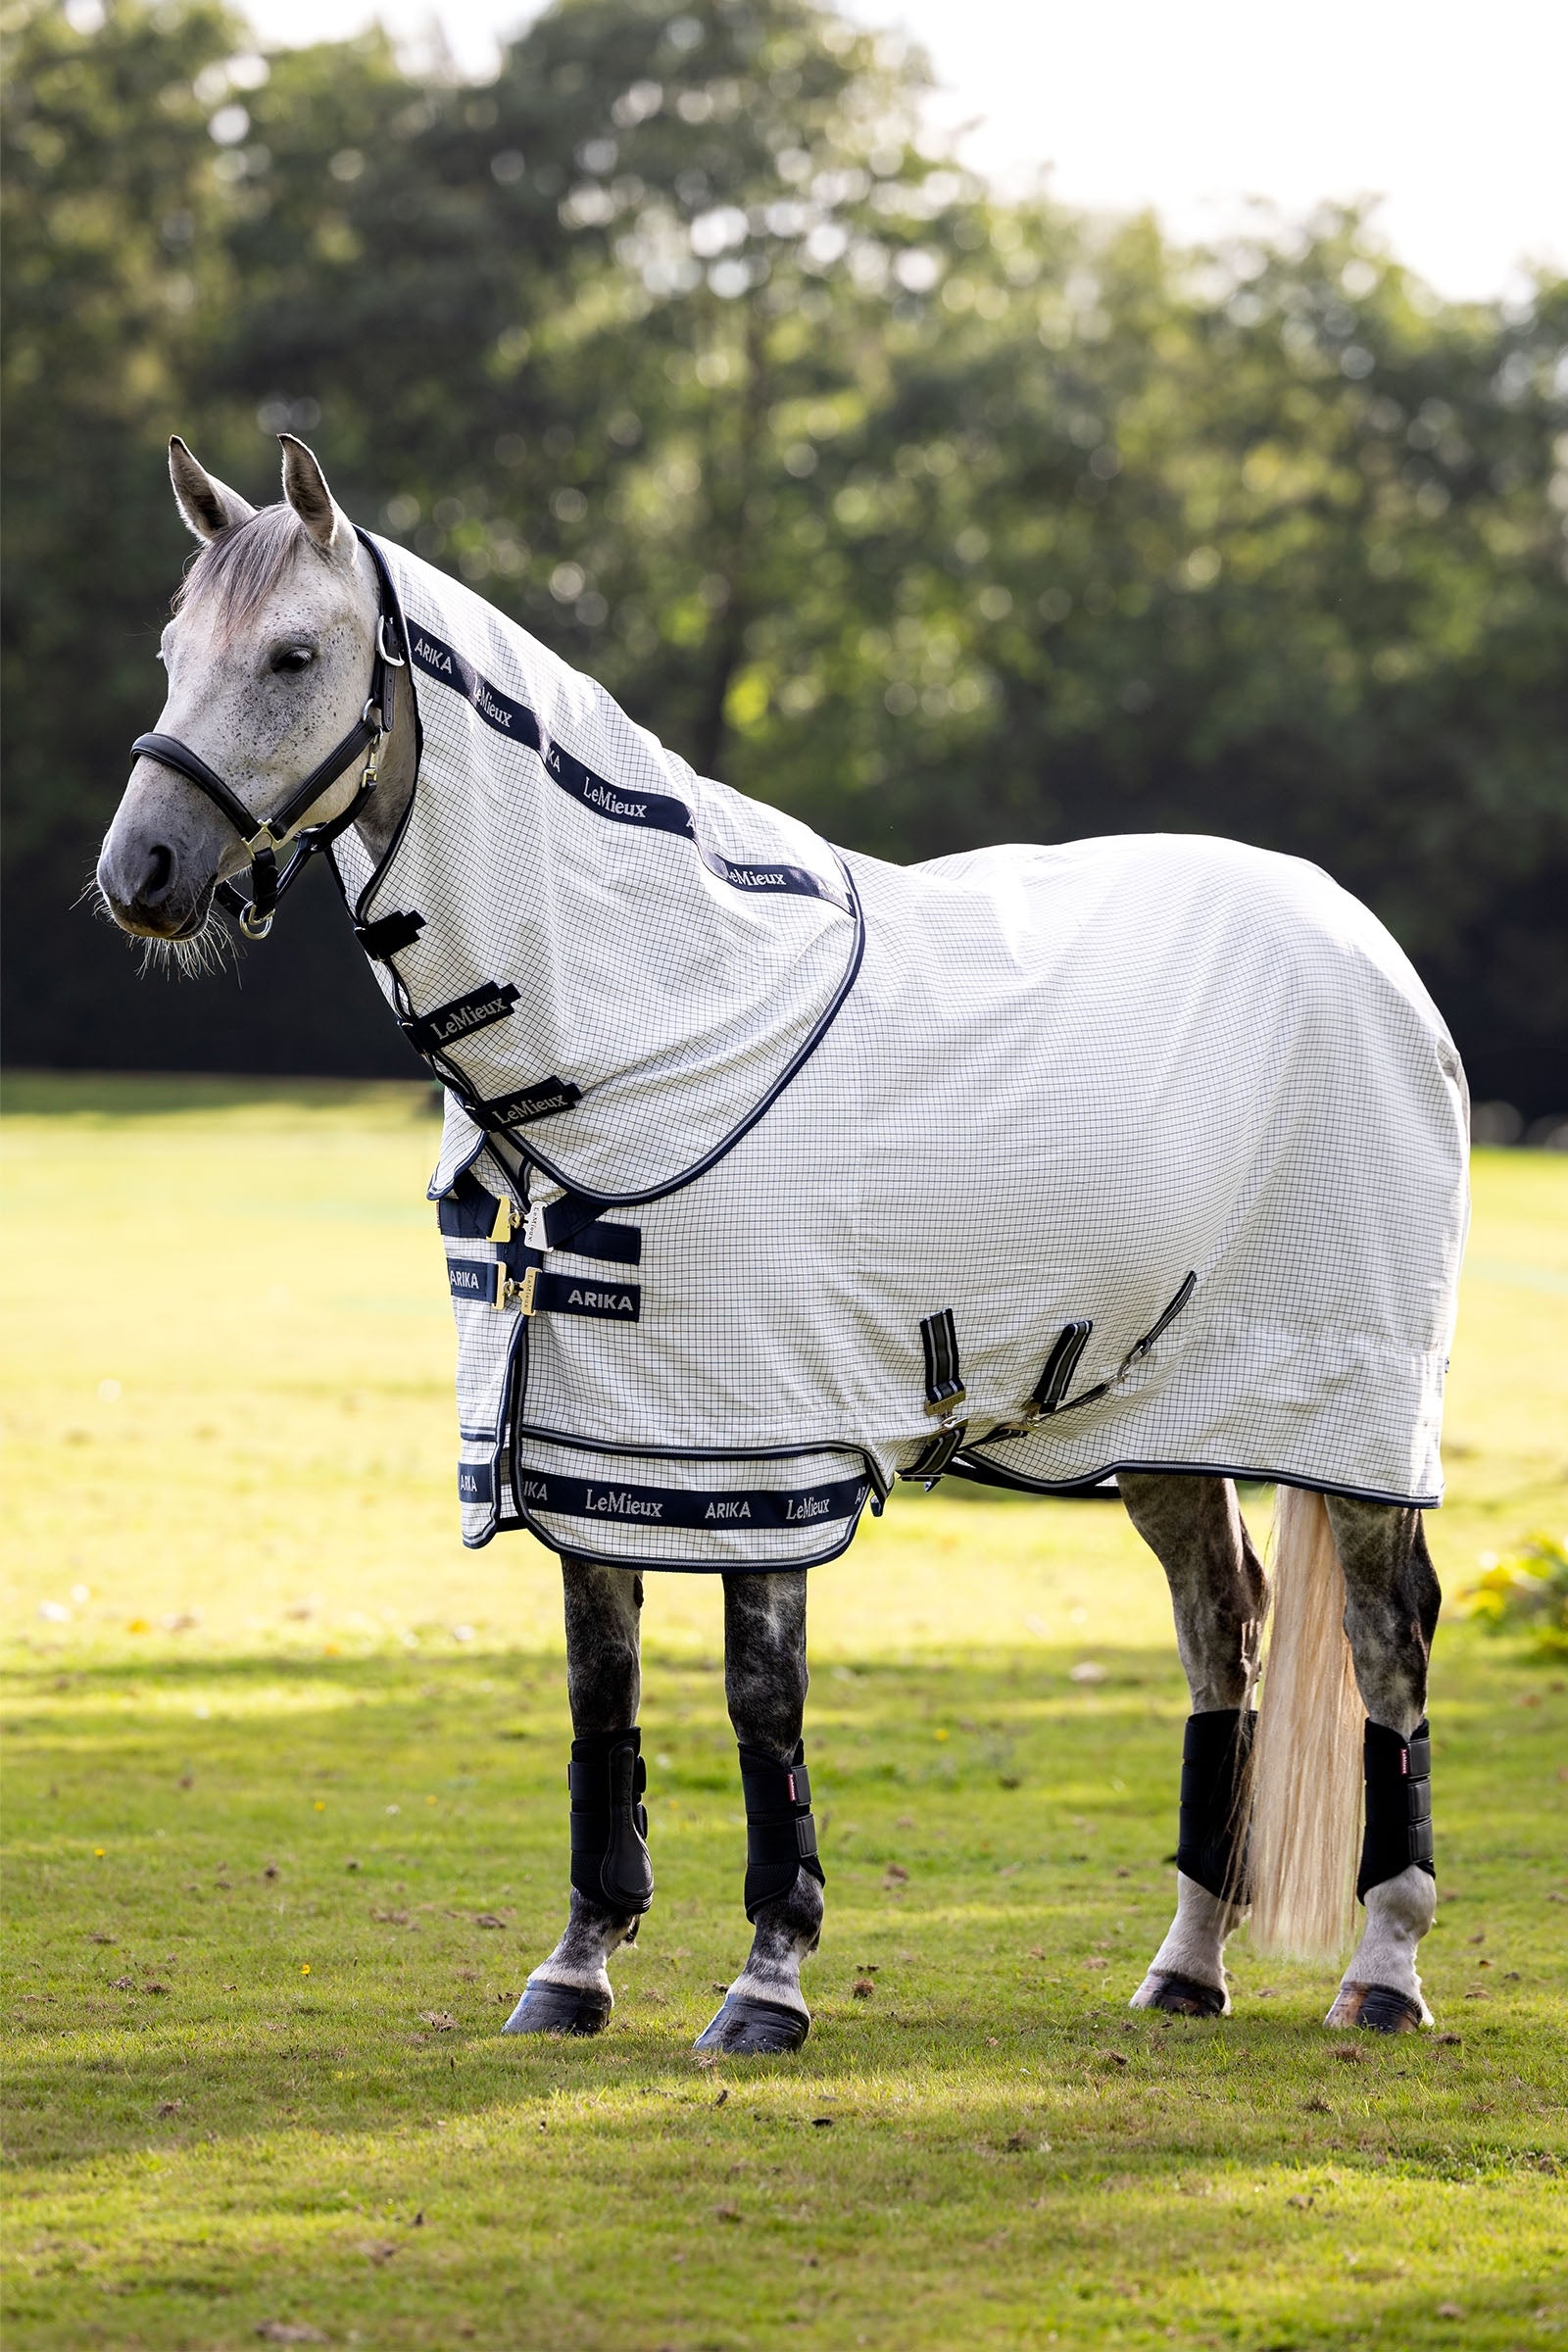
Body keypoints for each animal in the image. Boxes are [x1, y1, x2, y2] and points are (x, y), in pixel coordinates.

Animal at [96, 434, 1466, 2052]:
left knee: (1385, 1645)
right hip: (1166, 1425)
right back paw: (1187, 1966)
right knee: (1223, 1636)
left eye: (295, 655)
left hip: (1352, 1422)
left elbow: (764, 1705)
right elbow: (602, 1697)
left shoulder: (759, 1448)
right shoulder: (593, 1444)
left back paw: (1385, 1968)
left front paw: (768, 1980)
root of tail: (1362, 943)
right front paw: (576, 1967)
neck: (657, 1017)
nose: (142, 872)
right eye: (175, 651)